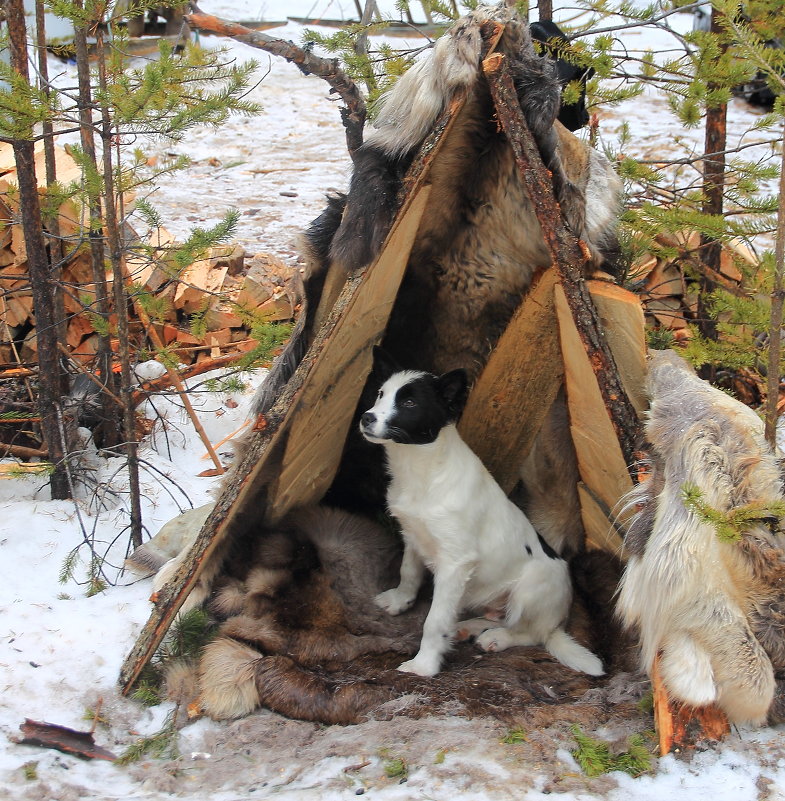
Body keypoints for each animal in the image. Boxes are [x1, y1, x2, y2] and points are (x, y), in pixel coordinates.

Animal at [358, 348, 604, 676]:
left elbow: (434, 620)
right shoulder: (413, 533)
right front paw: (400, 601)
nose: (366, 417)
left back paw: (498, 638)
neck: (424, 470)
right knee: (496, 616)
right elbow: (408, 572)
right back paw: (467, 628)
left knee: (532, 633)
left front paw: (424, 665)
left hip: (531, 588)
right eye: (381, 394)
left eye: (409, 403)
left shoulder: (455, 563)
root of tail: (558, 621)